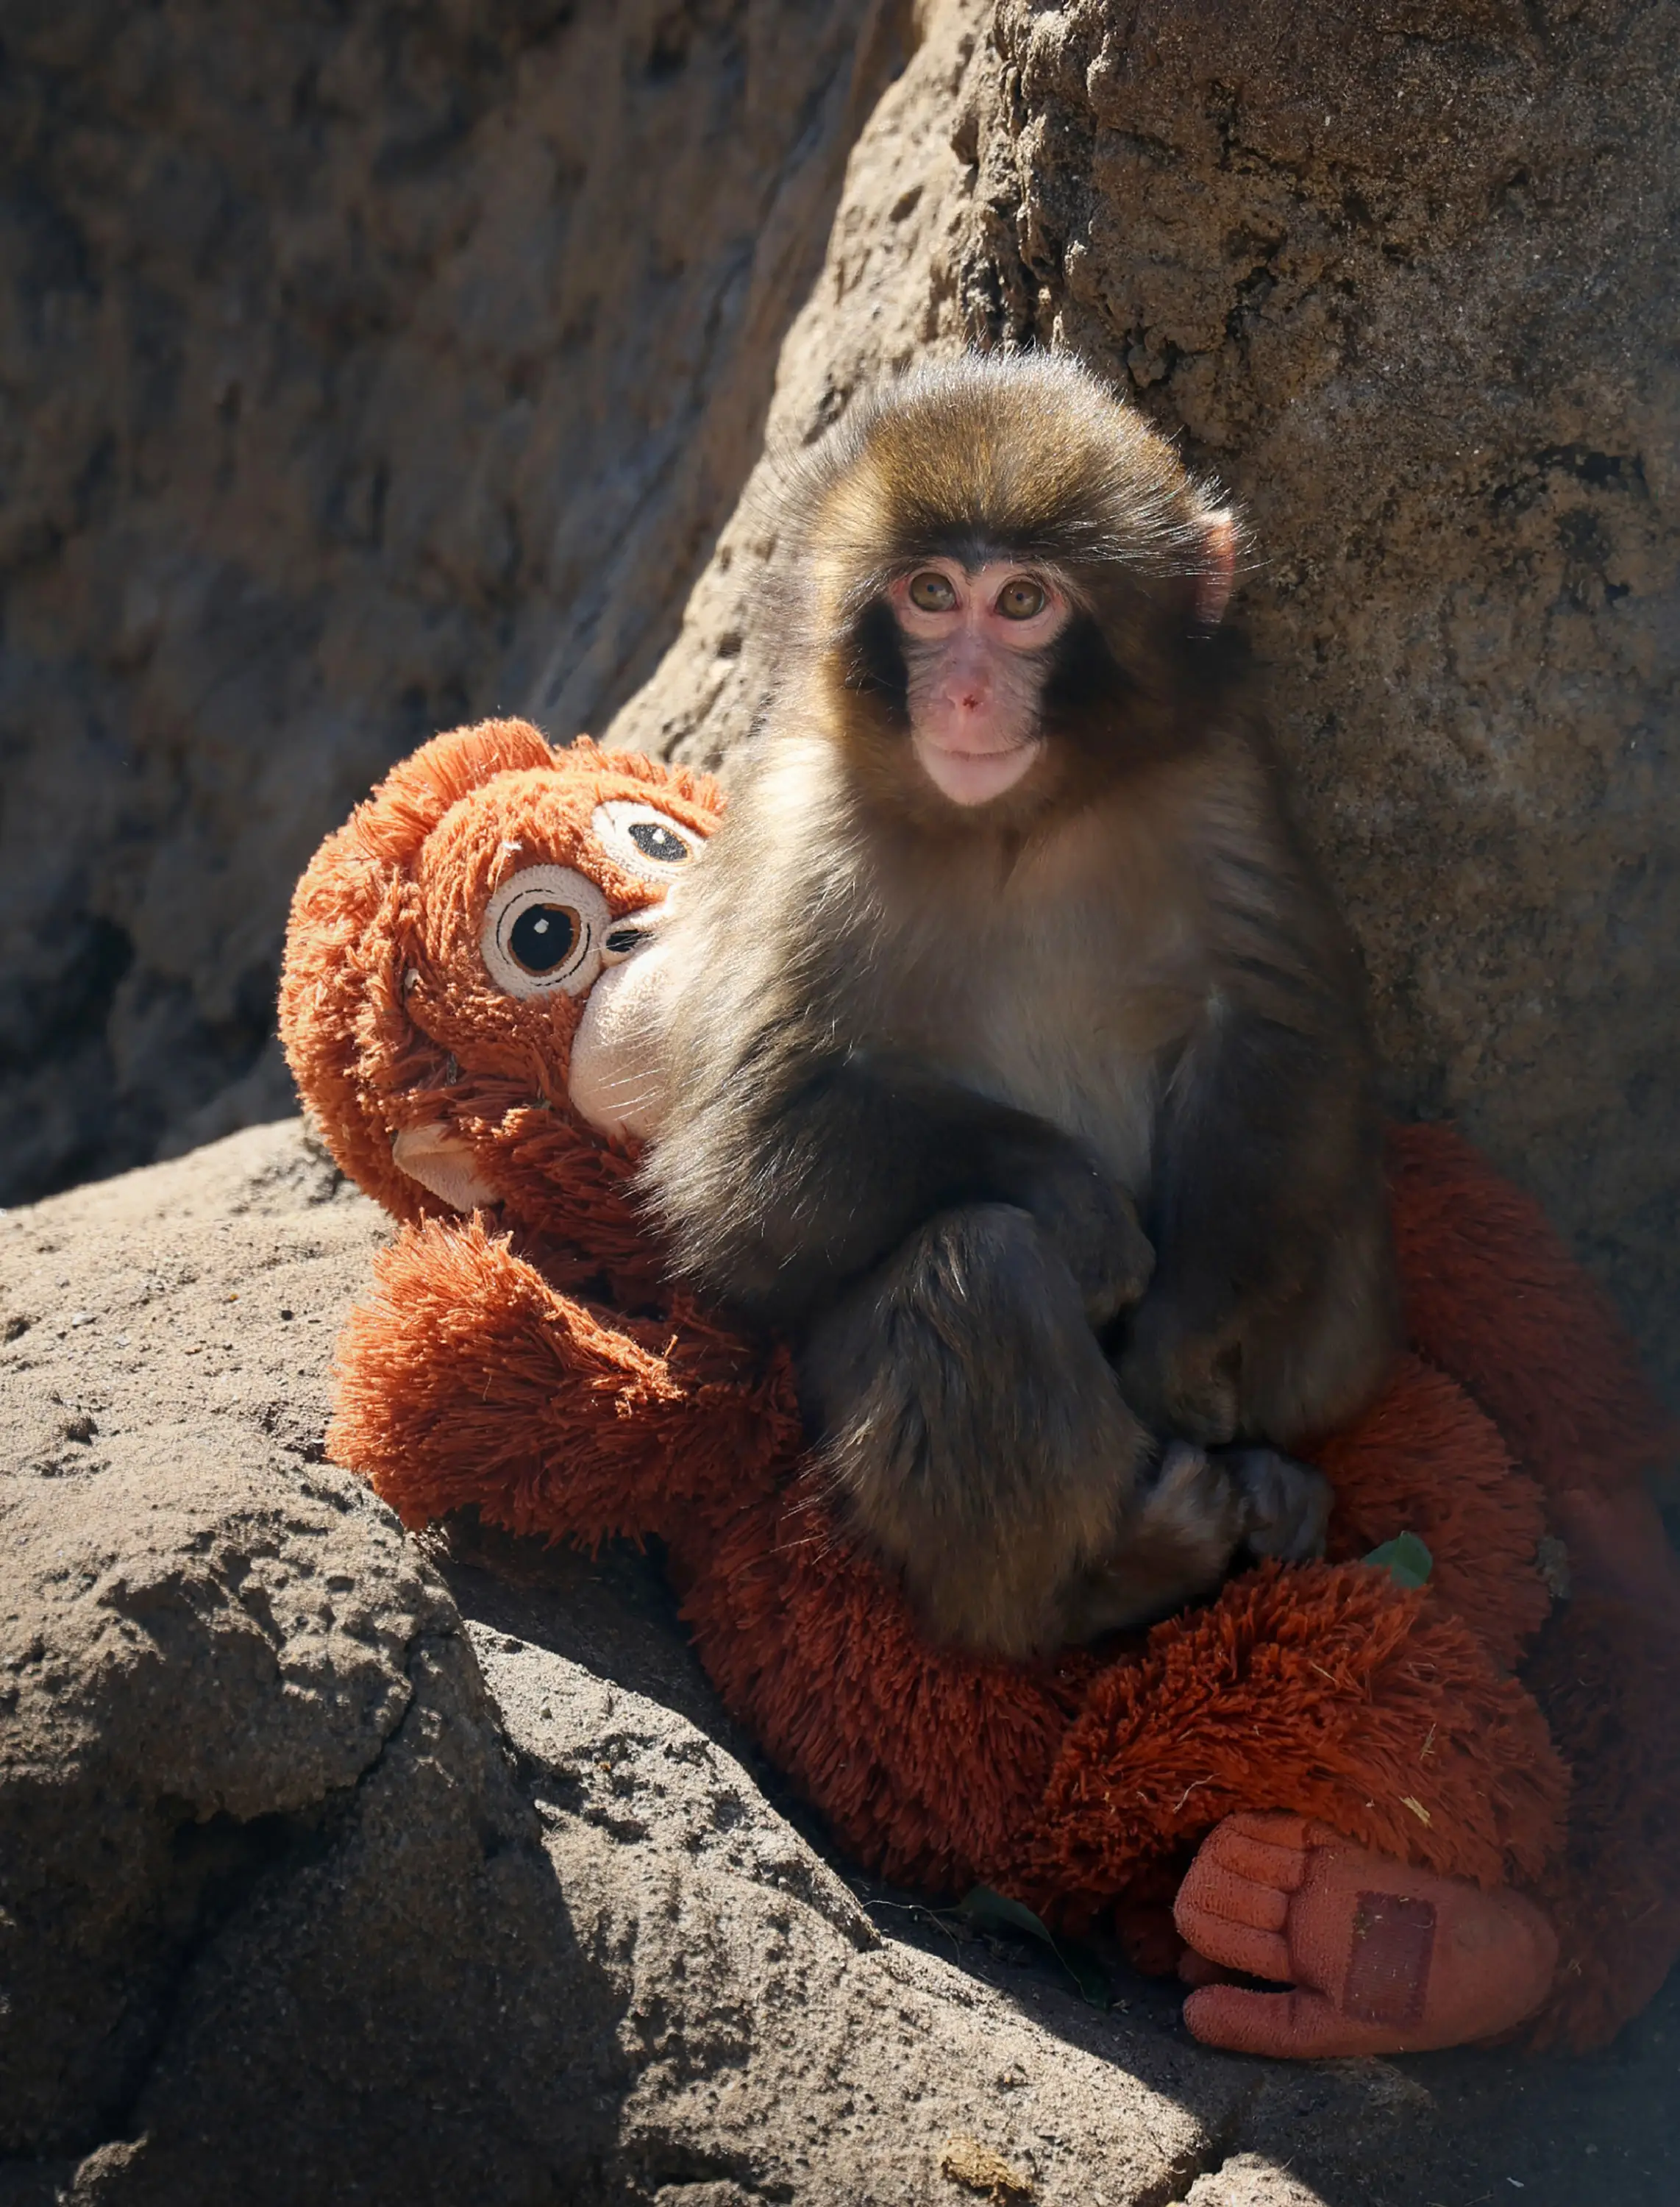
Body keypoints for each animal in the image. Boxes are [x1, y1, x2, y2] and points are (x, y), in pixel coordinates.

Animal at [638, 351, 1400, 1661]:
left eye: (1025, 603)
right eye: (933, 594)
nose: (964, 695)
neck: (1016, 824)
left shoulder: (1219, 779)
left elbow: (1274, 1034)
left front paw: (1179, 1347)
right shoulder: (802, 826)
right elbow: (743, 1158)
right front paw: (1079, 1207)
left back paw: (1271, 1475)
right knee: (979, 1266)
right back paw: (1105, 1581)